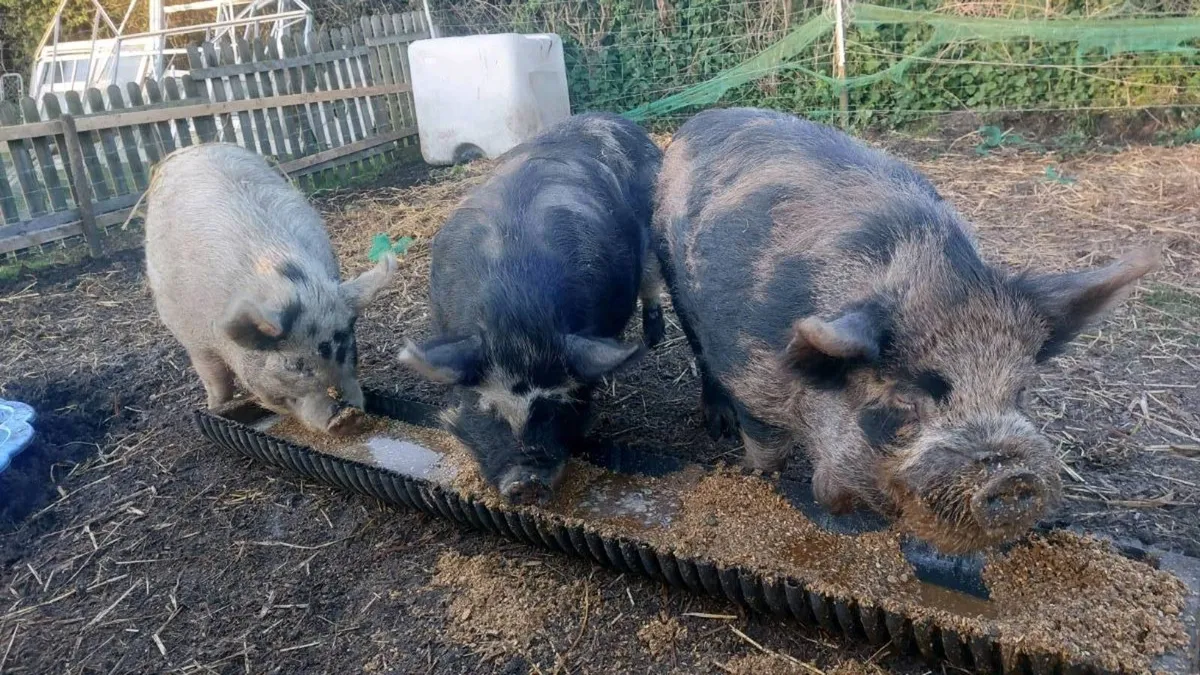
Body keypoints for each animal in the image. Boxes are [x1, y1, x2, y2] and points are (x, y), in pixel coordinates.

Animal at [144, 143, 396, 434]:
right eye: (292, 365)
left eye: (349, 346)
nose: (348, 416)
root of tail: (196, 146)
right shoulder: (196, 340)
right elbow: (216, 380)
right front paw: (215, 408)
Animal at [398, 112, 665, 505]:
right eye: (487, 408)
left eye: (556, 407)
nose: (526, 482)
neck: (515, 315)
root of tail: (610, 117)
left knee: (652, 282)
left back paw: (654, 339)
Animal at [653, 108, 1158, 553]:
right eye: (903, 402)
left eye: (1020, 391)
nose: (1013, 476)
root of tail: (703, 118)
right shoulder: (750, 375)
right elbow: (766, 451)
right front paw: (754, 481)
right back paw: (718, 423)